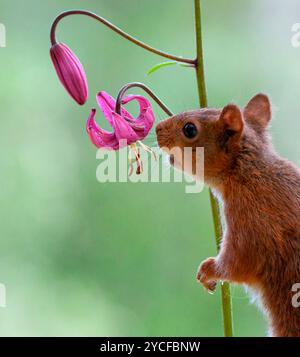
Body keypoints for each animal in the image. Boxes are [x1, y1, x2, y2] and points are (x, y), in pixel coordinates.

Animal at [156, 93, 298, 336]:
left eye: (190, 130)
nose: (156, 128)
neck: (247, 172)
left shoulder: (251, 219)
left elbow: (239, 262)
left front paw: (209, 269)